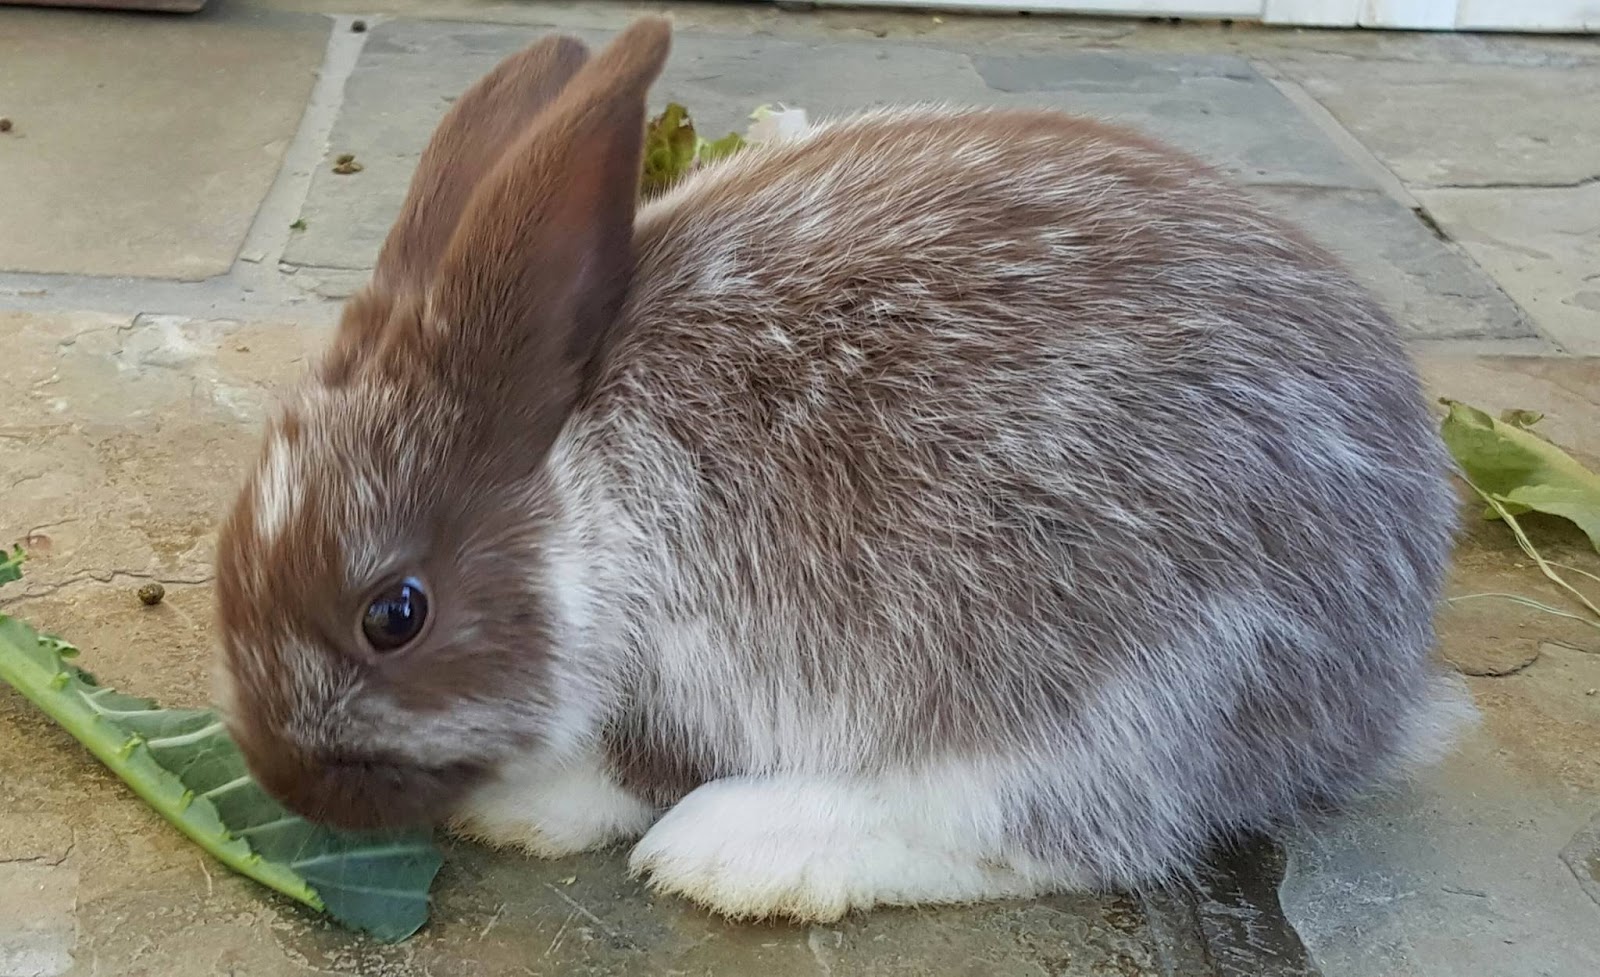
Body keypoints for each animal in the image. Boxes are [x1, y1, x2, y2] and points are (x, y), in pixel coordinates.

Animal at [212, 16, 1473, 923]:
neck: (584, 481)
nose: (290, 786)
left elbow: (631, 759)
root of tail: (1383, 680)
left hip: (1126, 675)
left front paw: (531, 807)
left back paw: (740, 854)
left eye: (395, 612)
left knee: (1048, 825)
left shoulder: (706, 651)